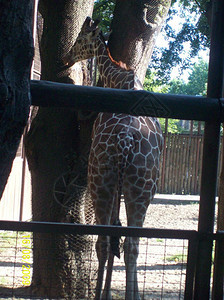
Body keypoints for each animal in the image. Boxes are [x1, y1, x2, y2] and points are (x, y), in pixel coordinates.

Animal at [62, 17, 164, 298]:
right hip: (136, 190)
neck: (120, 80)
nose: (65, 58)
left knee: (108, 241)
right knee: (127, 244)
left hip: (104, 185)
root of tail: (125, 142)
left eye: (80, 38)